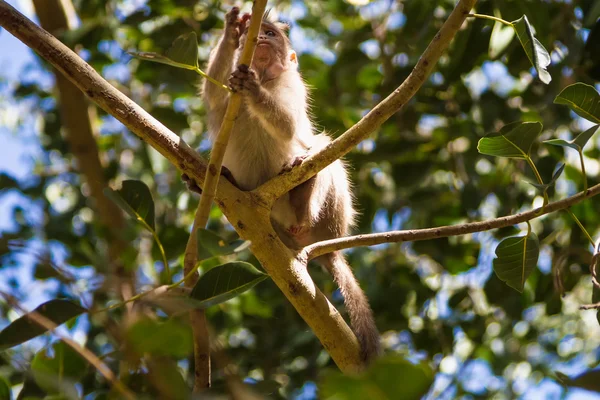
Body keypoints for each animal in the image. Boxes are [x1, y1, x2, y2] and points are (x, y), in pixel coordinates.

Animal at [199, 6, 382, 362]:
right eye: (258, 32)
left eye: (271, 34)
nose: (260, 38)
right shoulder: (227, 93)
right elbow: (214, 96)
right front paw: (231, 31)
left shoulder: (291, 84)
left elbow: (287, 126)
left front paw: (254, 89)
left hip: (325, 218)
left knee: (323, 152)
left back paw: (302, 203)